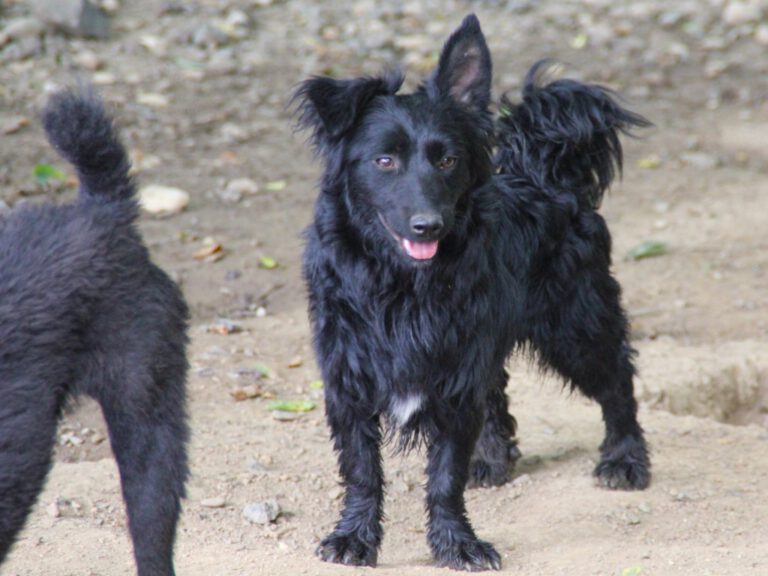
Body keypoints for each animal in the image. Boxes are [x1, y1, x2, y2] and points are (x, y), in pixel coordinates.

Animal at [296, 13, 652, 572]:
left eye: (448, 161)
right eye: (383, 160)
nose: (428, 225)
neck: (402, 286)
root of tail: (546, 175)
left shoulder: (455, 374)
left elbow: (445, 477)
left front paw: (454, 543)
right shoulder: (349, 379)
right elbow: (361, 470)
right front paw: (354, 538)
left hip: (577, 325)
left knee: (618, 380)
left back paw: (625, 458)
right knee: (499, 390)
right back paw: (493, 457)